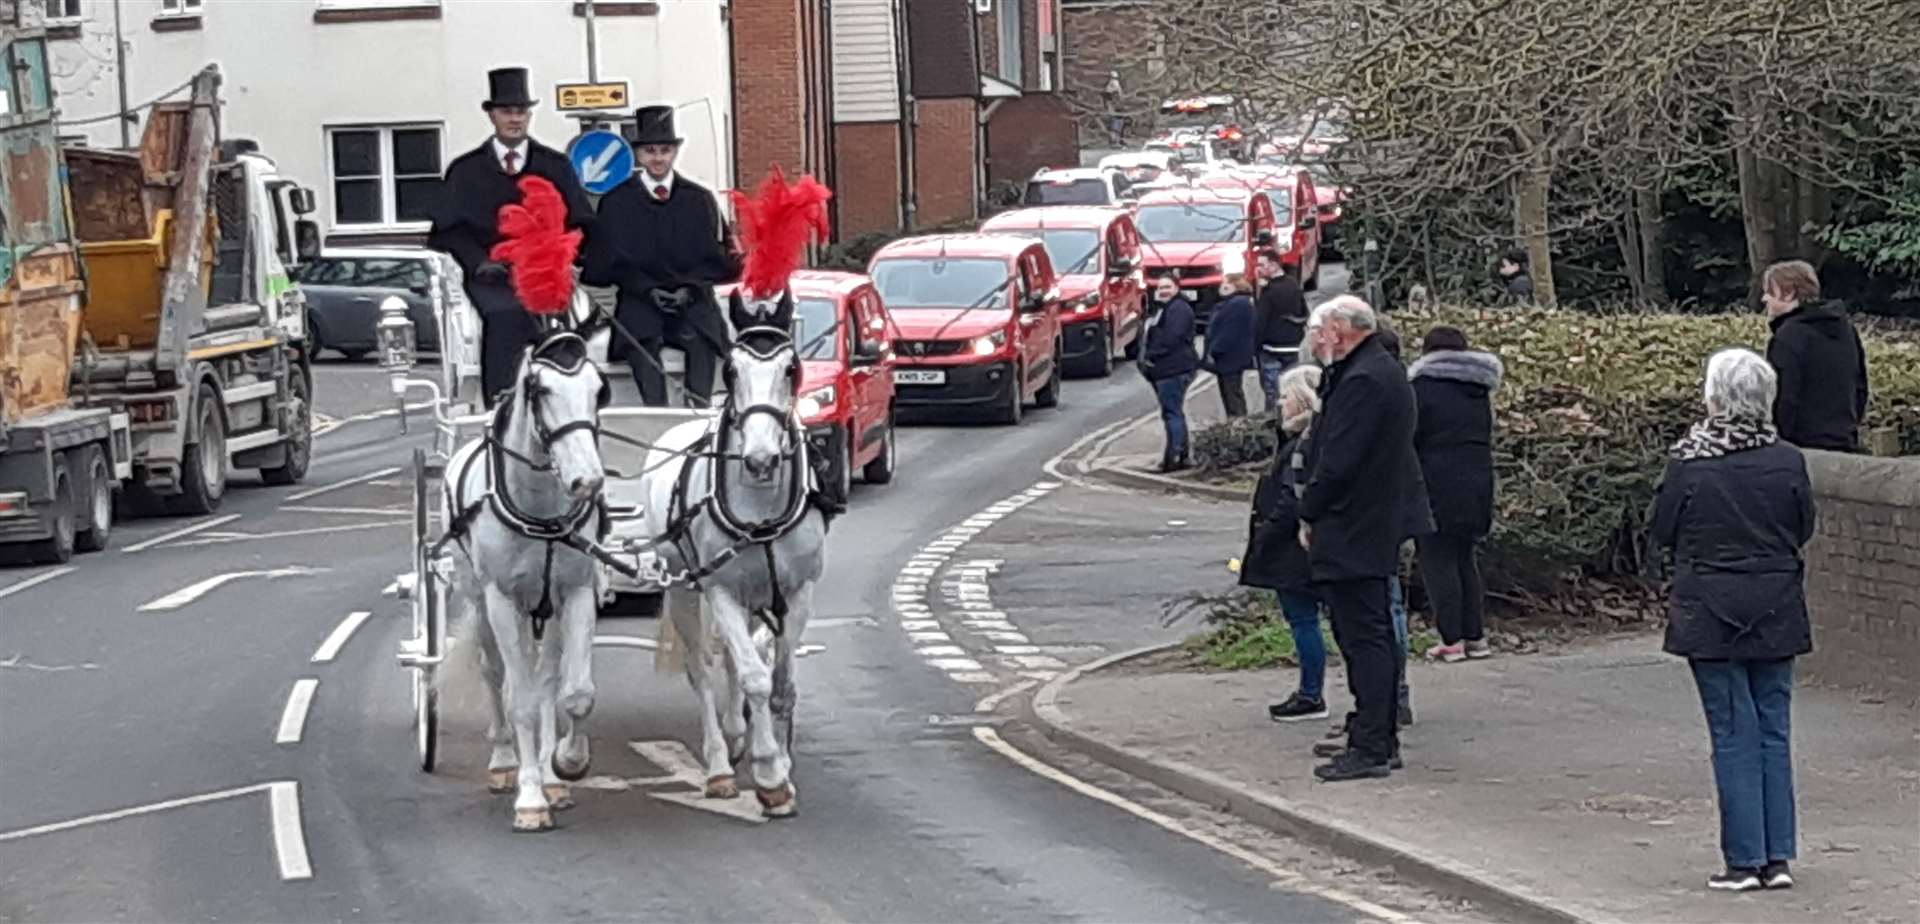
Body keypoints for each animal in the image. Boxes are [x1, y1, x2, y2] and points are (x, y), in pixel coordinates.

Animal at [441, 330, 606, 829]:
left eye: (598, 389)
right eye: (542, 390)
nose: (588, 481)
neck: (541, 512)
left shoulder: (576, 593)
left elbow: (575, 693)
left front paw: (566, 764)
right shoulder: (501, 600)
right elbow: (521, 702)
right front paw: (530, 798)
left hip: (545, 608)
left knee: (546, 679)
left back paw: (551, 776)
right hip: (479, 600)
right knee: (496, 675)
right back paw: (502, 761)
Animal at [641, 290, 829, 814]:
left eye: (791, 367)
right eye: (731, 369)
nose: (761, 460)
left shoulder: (797, 593)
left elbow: (780, 684)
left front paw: (781, 764)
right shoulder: (721, 590)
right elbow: (755, 678)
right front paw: (768, 773)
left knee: (731, 656)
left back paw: (738, 732)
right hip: (685, 589)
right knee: (703, 669)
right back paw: (722, 766)